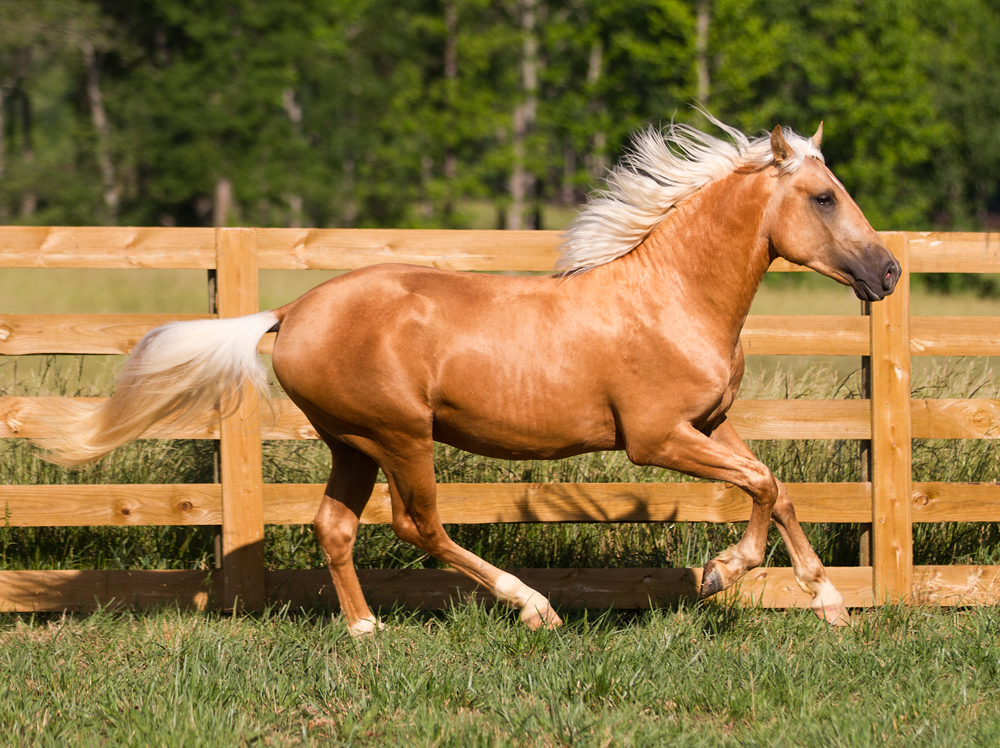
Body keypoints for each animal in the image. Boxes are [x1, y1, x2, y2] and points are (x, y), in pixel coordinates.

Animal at [39, 115, 904, 632]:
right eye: (823, 197)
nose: (889, 272)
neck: (671, 297)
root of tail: (289, 312)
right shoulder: (657, 437)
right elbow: (762, 485)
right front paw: (728, 574)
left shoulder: (711, 426)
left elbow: (776, 486)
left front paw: (826, 603)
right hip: (399, 436)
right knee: (416, 526)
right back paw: (534, 608)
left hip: (351, 443)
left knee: (335, 526)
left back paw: (365, 630)